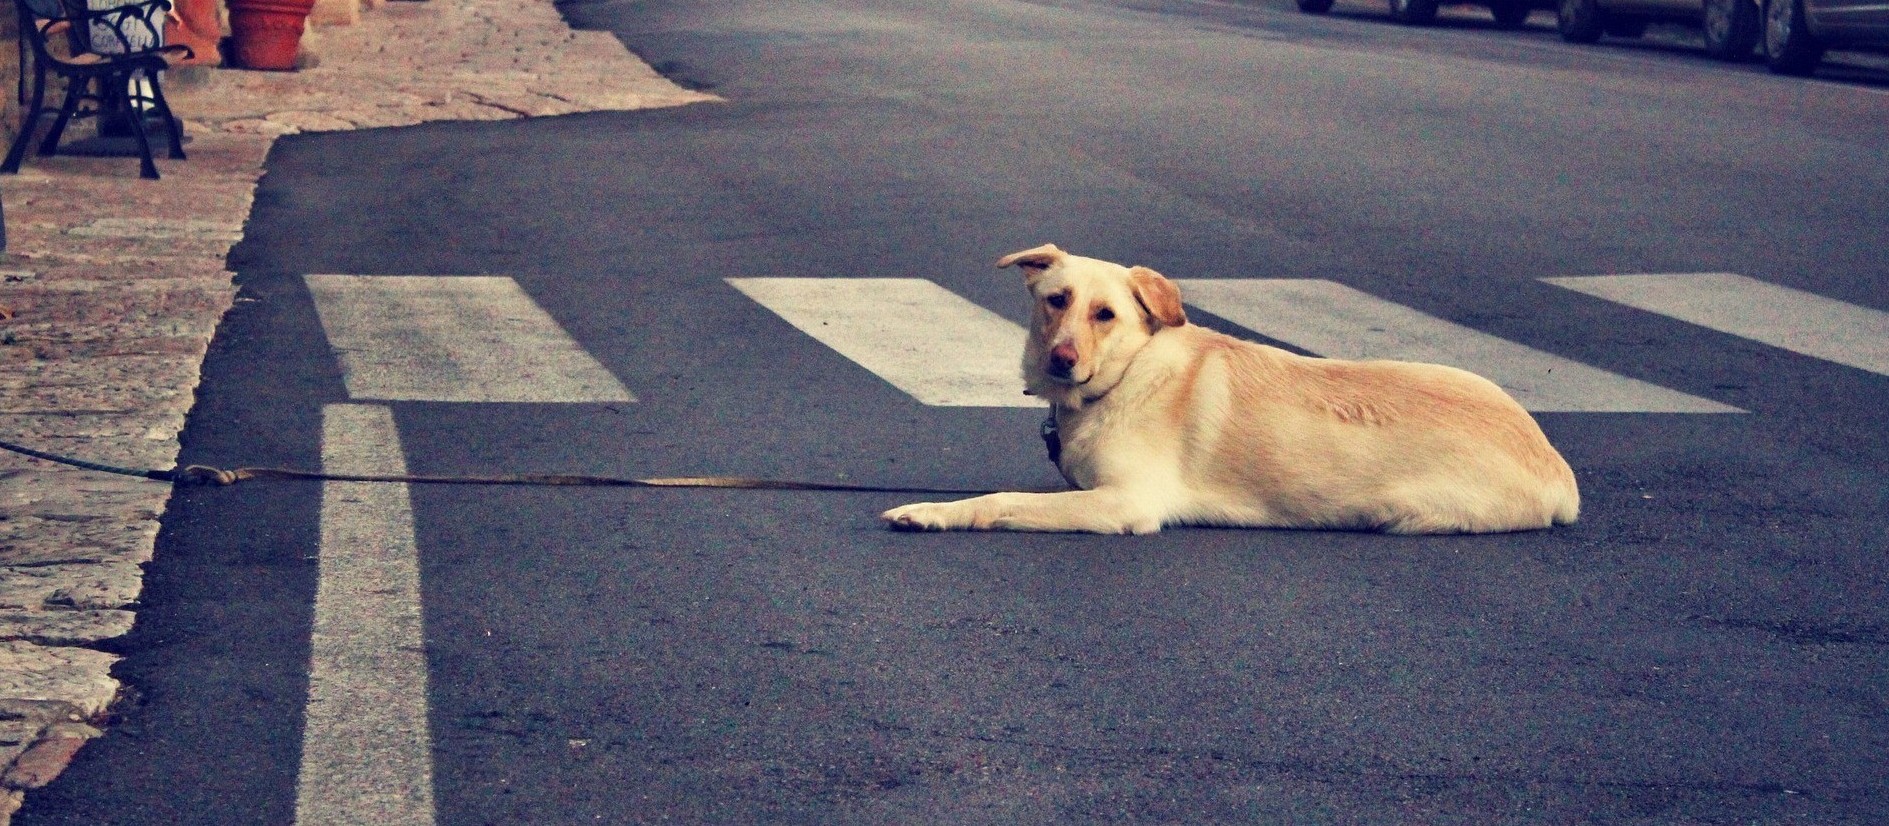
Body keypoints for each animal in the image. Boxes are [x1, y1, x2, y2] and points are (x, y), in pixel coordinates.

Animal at [880, 240, 1579, 533]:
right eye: (1057, 301)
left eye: (1105, 314)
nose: (1062, 359)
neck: (1128, 375)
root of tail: (1555, 464)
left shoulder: (1125, 503)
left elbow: (1001, 500)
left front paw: (931, 513)